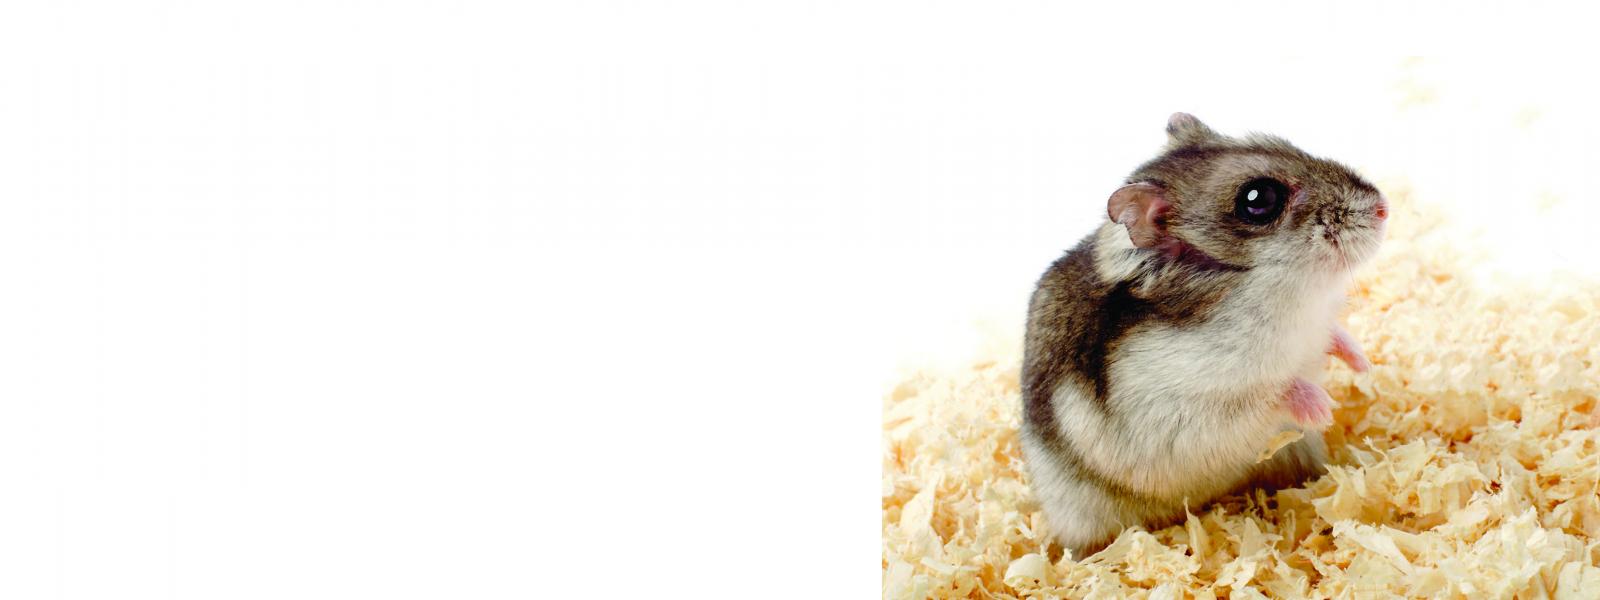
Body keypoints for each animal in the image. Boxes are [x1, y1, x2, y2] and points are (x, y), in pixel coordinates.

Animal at [1020, 113, 1387, 558]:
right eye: (1258, 198)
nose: (1384, 207)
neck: (1283, 289)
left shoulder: (1317, 328)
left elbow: (1334, 335)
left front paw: (1363, 363)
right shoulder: (1179, 411)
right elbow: (1271, 392)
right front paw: (1323, 407)